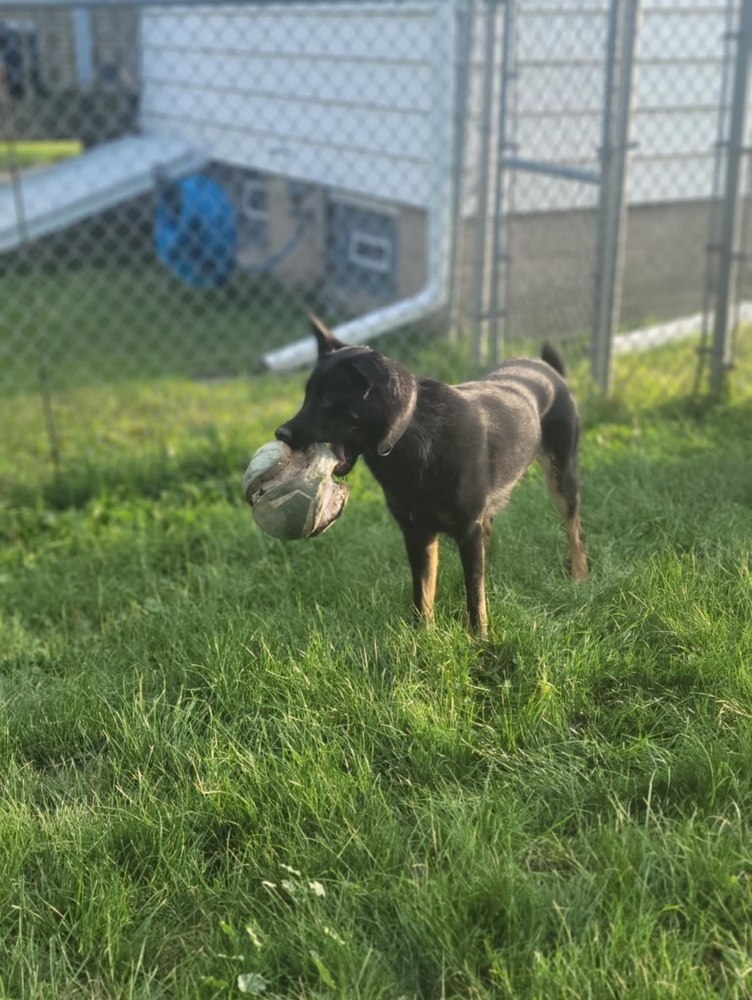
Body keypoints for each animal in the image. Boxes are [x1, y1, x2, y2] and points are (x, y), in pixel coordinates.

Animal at [276, 316, 588, 636]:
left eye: (326, 400)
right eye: (307, 397)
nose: (281, 434)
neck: (408, 434)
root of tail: (547, 367)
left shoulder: (467, 529)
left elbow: (474, 596)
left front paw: (480, 639)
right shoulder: (417, 533)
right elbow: (424, 592)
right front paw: (422, 636)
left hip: (562, 476)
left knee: (574, 528)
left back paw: (579, 576)